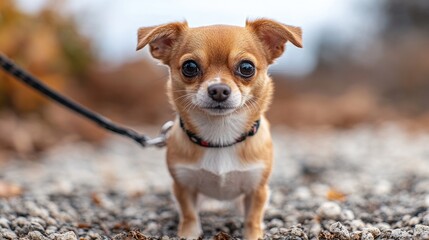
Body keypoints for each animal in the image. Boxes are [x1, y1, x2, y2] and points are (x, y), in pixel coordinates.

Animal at [136, 17, 300, 239]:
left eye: (246, 67)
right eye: (190, 67)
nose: (219, 90)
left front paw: (254, 233)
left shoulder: (257, 189)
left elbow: (252, 219)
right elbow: (189, 214)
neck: (220, 137)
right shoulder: (183, 185)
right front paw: (188, 233)